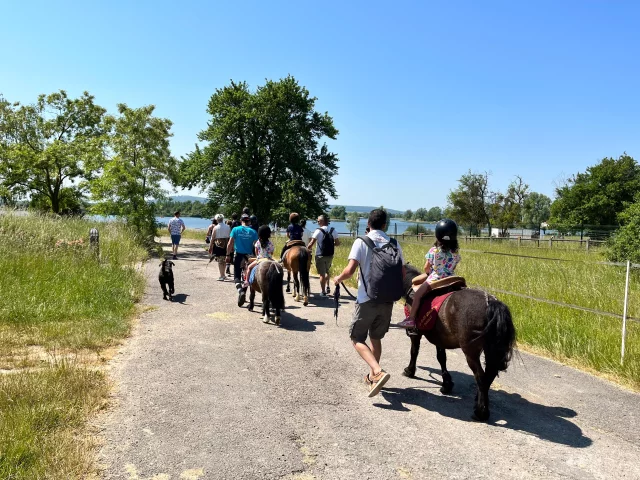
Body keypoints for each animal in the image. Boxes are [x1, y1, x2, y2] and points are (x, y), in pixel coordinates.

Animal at [402, 262, 516, 420]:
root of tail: (491, 302)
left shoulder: (416, 334)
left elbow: (414, 351)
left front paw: (410, 370)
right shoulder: (440, 338)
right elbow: (441, 358)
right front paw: (446, 384)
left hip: (471, 352)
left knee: (481, 376)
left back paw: (480, 412)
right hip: (490, 349)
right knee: (489, 375)